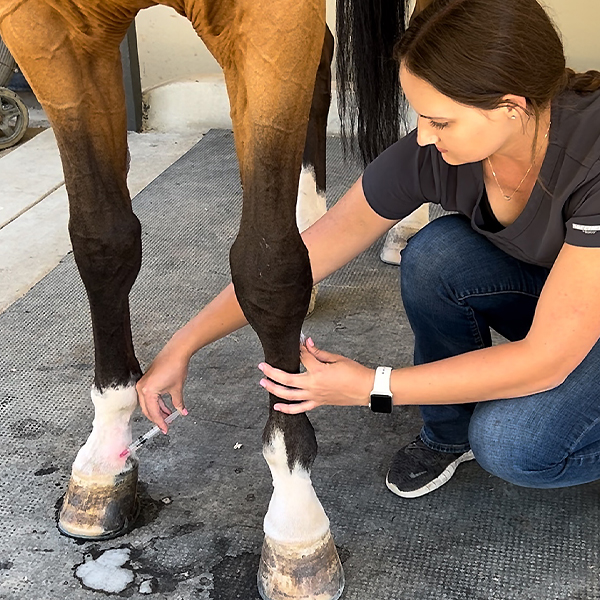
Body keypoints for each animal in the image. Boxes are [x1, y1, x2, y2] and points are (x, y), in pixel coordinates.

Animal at [0, 0, 410, 596]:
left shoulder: (271, 24)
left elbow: (268, 270)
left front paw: (295, 519)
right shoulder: (49, 29)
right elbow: (102, 240)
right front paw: (105, 450)